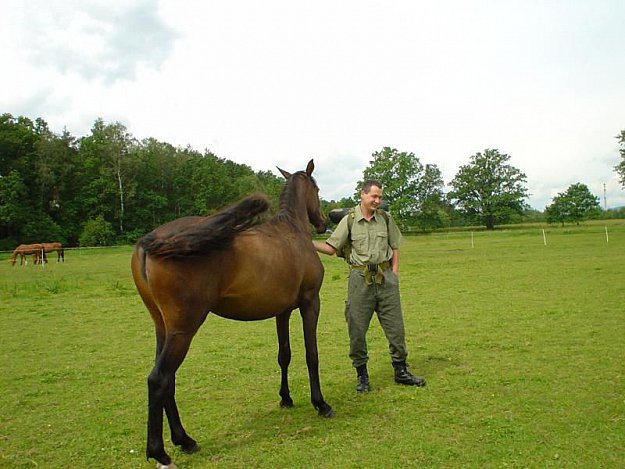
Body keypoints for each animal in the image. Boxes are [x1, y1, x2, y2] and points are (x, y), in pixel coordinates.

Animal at [132, 159, 334, 466]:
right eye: (318, 189)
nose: (324, 222)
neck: (292, 232)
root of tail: (151, 240)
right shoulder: (310, 303)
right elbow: (312, 354)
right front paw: (320, 404)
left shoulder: (283, 312)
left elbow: (284, 354)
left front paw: (285, 398)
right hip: (183, 331)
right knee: (159, 379)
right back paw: (161, 452)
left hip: (163, 328)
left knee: (168, 380)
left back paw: (184, 440)